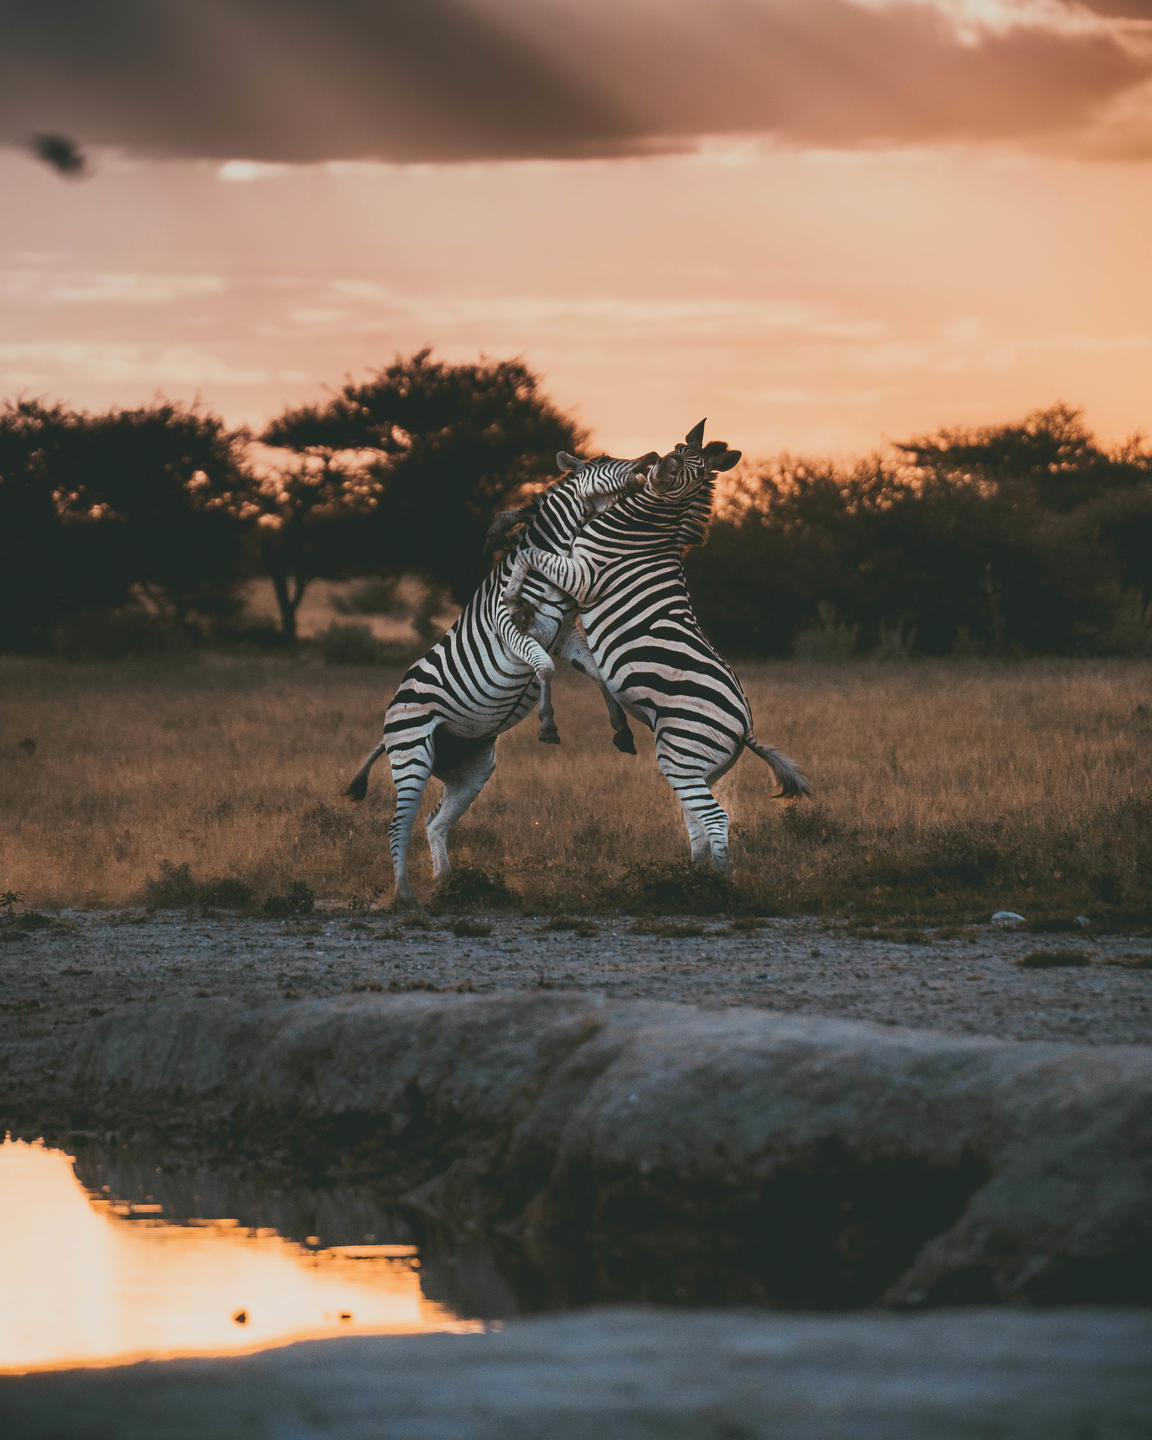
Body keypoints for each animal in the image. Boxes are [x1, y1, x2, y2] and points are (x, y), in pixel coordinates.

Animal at [344, 449, 656, 904]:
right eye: (604, 462)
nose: (651, 456)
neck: (552, 564)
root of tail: (389, 721)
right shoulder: (512, 628)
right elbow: (543, 668)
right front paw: (547, 725)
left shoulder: (564, 634)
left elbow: (598, 674)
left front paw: (621, 729)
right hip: (412, 754)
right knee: (397, 825)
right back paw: (405, 895)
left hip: (471, 769)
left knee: (434, 822)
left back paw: (446, 884)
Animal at [504, 420, 812, 869]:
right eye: (679, 450)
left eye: (695, 472)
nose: (662, 468)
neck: (644, 524)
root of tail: (746, 727)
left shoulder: (585, 574)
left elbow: (529, 553)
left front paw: (512, 594)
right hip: (696, 765)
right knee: (698, 820)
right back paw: (692, 875)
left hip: (682, 751)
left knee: (716, 818)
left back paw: (718, 882)